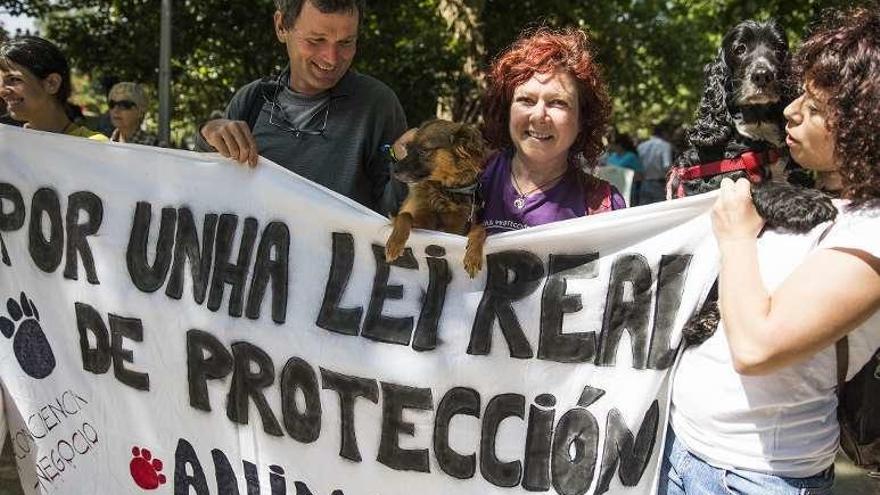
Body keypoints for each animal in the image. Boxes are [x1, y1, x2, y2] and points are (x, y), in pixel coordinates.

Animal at [384, 118, 488, 278]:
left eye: (423, 151)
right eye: (408, 148)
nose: (394, 170)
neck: (444, 192)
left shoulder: (458, 231)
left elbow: (481, 229)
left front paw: (473, 257)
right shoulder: (421, 225)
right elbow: (404, 216)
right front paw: (395, 243)